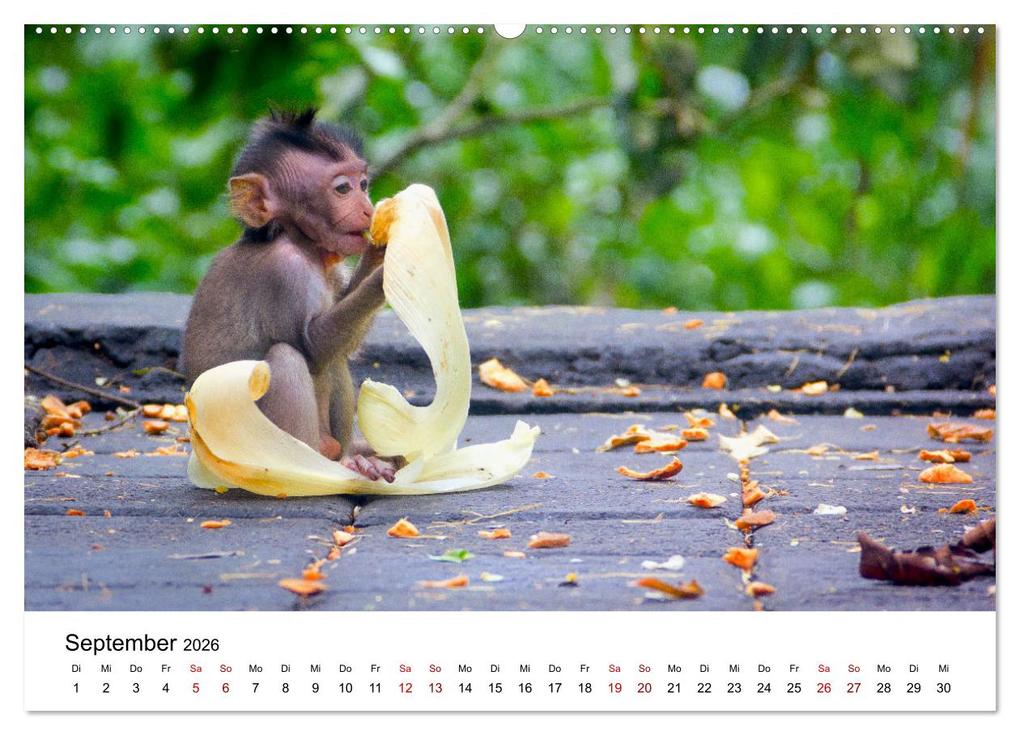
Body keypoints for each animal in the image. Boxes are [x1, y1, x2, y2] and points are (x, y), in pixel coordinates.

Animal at [181, 108, 395, 482]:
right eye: (343, 189)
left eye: (363, 184)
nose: (369, 210)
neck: (298, 241)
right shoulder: (285, 274)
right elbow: (313, 348)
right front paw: (384, 274)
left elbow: (341, 347)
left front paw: (378, 253)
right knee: (286, 358)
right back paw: (309, 469)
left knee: (335, 360)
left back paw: (352, 457)